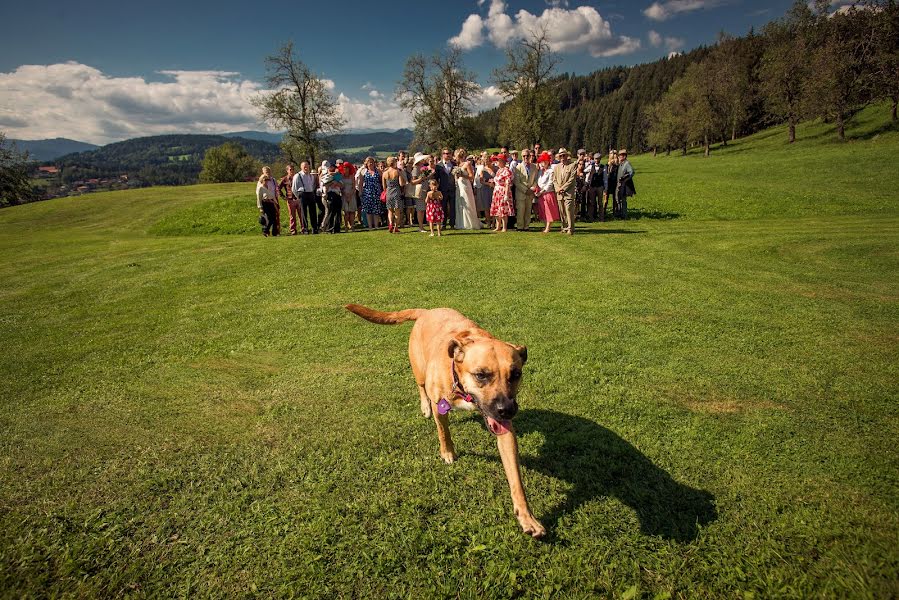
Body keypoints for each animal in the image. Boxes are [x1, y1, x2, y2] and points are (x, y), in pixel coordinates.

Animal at [342, 304, 540, 540]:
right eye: (481, 375)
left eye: (516, 374)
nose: (507, 410)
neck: (461, 385)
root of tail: (426, 310)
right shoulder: (441, 405)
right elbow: (443, 432)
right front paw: (447, 453)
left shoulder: (502, 425)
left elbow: (515, 478)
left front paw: (527, 517)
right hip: (419, 369)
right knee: (420, 386)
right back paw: (424, 407)